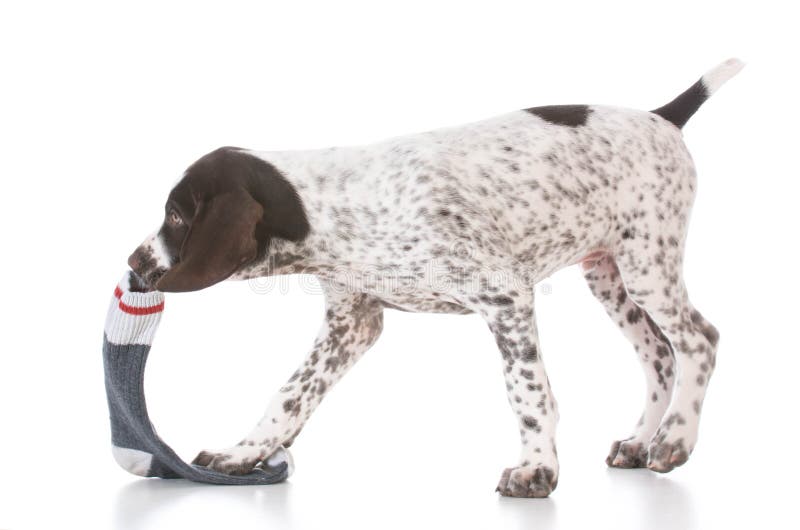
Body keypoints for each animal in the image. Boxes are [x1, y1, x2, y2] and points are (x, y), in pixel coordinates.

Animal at [128, 57, 740, 496]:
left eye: (177, 216)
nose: (133, 265)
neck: (331, 211)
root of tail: (661, 115)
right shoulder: (353, 323)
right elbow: (291, 394)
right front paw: (244, 452)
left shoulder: (505, 297)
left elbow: (529, 392)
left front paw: (536, 469)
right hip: (610, 275)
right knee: (659, 355)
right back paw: (641, 441)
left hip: (647, 264)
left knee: (698, 340)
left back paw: (675, 440)